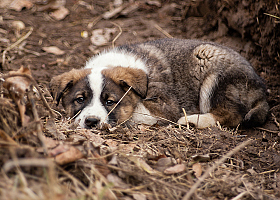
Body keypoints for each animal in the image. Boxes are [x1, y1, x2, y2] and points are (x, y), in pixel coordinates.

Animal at [50, 38, 270, 129]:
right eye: (80, 100)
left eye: (110, 102)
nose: (91, 122)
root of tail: (262, 90)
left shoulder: (165, 106)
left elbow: (134, 112)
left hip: (212, 66)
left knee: (232, 114)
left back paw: (192, 120)